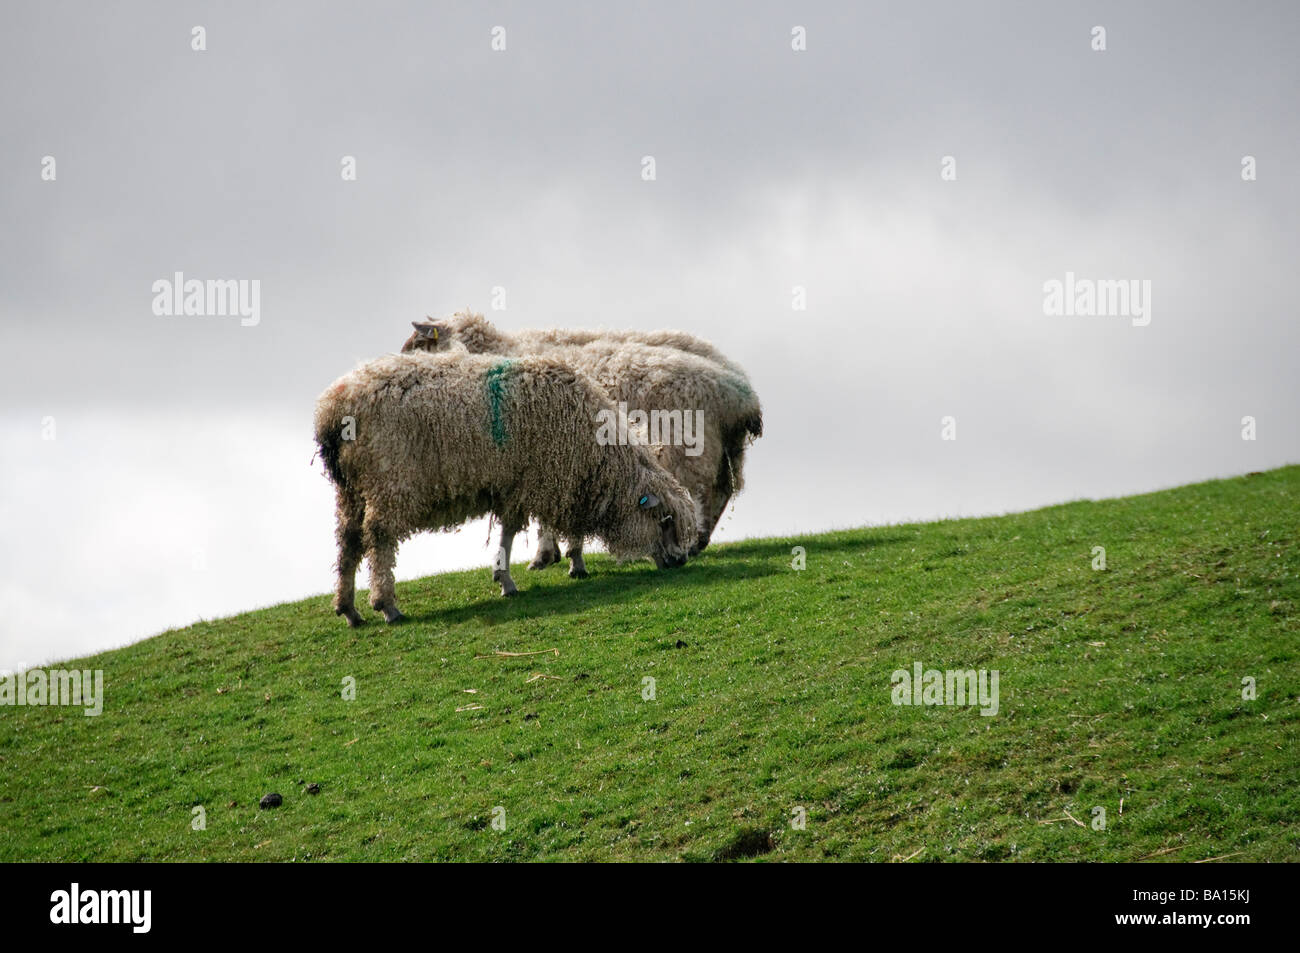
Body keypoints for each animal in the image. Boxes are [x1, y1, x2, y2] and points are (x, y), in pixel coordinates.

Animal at [397, 314, 759, 579]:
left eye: (417, 346)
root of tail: (739, 394)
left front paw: (548, 555)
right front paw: (555, 553)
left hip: (689, 445)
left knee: (697, 493)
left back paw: (694, 541)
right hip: (726, 449)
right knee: (722, 490)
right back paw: (699, 540)